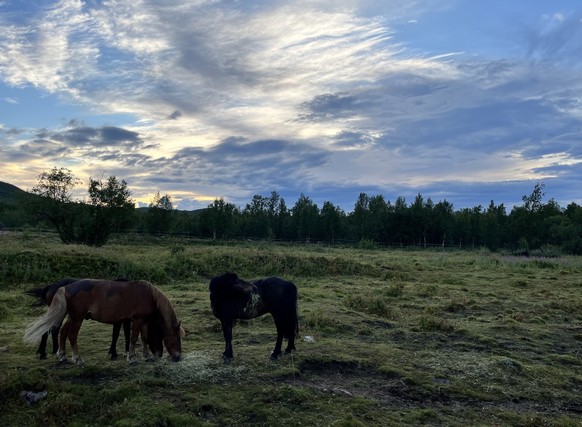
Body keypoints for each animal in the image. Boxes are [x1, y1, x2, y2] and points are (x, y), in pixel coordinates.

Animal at [24, 280, 182, 366]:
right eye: (175, 338)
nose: (178, 357)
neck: (148, 295)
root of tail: (65, 287)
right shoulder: (136, 320)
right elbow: (133, 339)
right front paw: (132, 358)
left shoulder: (143, 321)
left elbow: (143, 338)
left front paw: (146, 356)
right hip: (77, 318)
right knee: (72, 336)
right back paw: (78, 359)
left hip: (71, 317)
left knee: (63, 333)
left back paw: (62, 355)